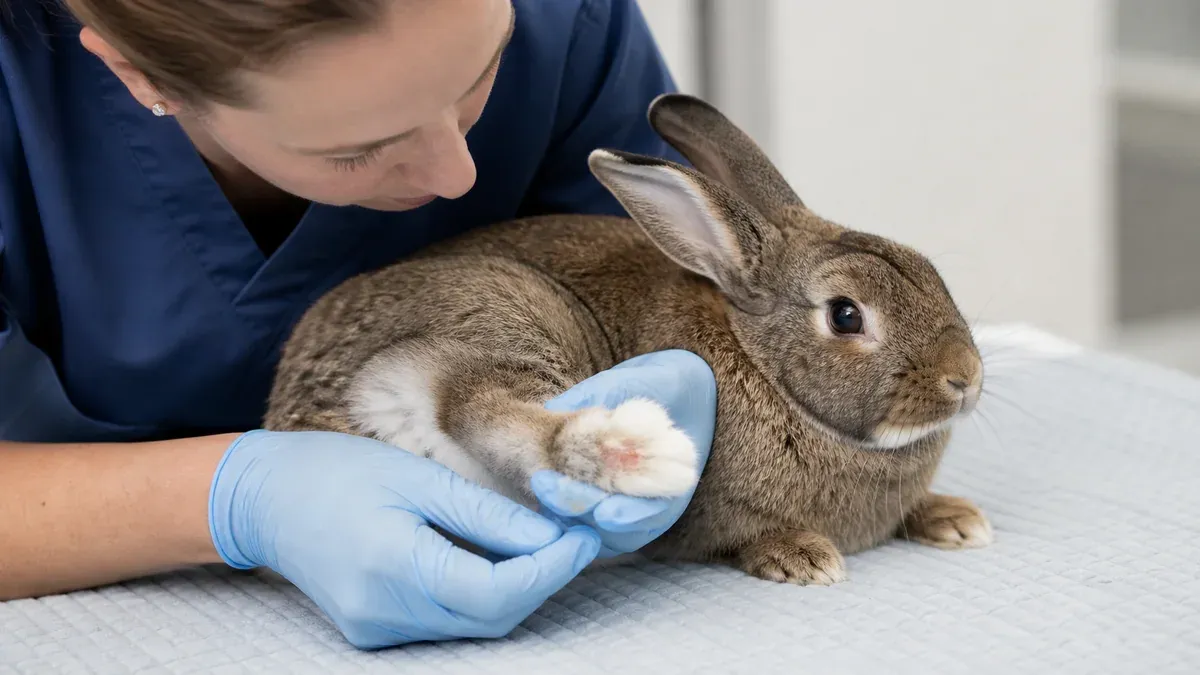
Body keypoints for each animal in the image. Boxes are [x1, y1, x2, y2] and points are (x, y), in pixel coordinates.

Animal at [263, 92, 993, 586]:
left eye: (929, 270)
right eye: (845, 315)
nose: (966, 378)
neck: (765, 363)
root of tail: (306, 413)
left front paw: (956, 518)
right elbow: (747, 537)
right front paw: (803, 557)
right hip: (509, 310)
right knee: (479, 405)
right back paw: (636, 455)